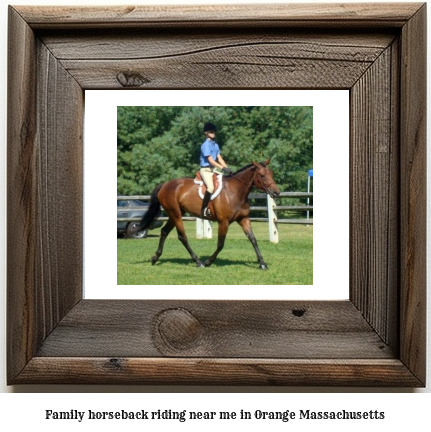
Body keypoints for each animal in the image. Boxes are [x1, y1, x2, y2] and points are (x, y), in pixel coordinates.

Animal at [137, 157, 282, 268]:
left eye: (271, 174)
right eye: (262, 176)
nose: (276, 193)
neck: (235, 191)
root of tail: (165, 185)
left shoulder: (243, 219)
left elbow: (253, 239)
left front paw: (262, 263)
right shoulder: (224, 222)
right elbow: (220, 244)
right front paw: (208, 261)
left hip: (174, 214)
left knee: (164, 232)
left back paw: (155, 258)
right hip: (176, 214)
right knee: (182, 237)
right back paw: (198, 262)